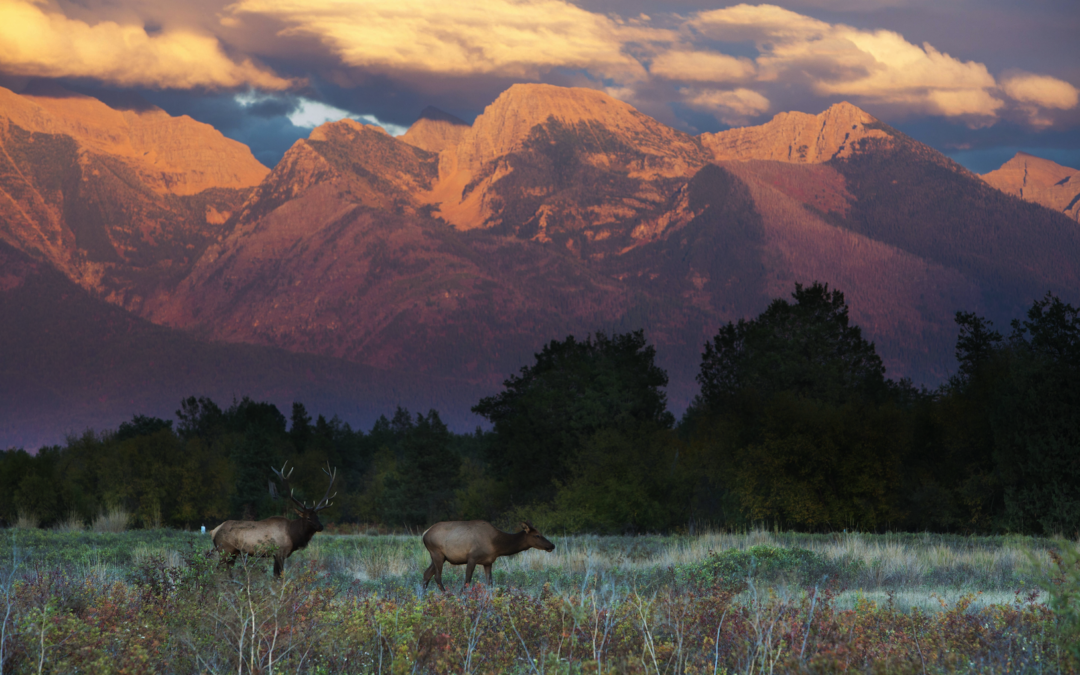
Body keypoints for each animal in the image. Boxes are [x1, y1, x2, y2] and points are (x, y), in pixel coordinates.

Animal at [421, 518, 557, 587]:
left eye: (541, 533)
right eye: (537, 535)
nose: (552, 545)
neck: (496, 545)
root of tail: (424, 533)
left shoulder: (488, 562)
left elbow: (490, 583)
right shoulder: (472, 558)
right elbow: (467, 581)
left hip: (441, 557)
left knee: (426, 574)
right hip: (437, 553)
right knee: (437, 577)